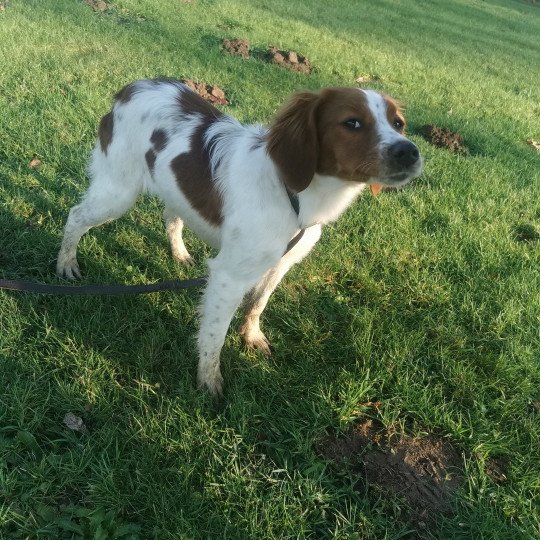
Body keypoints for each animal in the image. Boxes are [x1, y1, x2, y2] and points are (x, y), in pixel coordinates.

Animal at [58, 79, 422, 392]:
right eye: (353, 123)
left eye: (399, 123)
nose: (410, 152)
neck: (293, 193)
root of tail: (131, 88)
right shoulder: (228, 276)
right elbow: (214, 334)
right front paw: (209, 382)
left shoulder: (281, 263)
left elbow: (258, 304)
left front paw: (251, 336)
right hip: (117, 192)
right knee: (76, 216)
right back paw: (66, 264)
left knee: (171, 216)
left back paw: (179, 253)